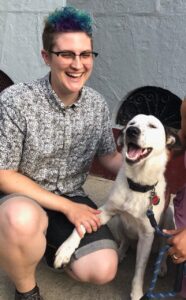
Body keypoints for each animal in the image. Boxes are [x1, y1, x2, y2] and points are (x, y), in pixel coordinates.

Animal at [54, 114, 176, 300]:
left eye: (153, 126)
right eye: (131, 123)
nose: (131, 131)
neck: (137, 184)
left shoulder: (147, 235)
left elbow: (139, 270)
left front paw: (137, 293)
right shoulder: (105, 211)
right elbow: (80, 226)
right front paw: (65, 250)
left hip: (168, 221)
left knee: (162, 248)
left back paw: (161, 267)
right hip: (119, 221)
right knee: (125, 241)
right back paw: (119, 253)